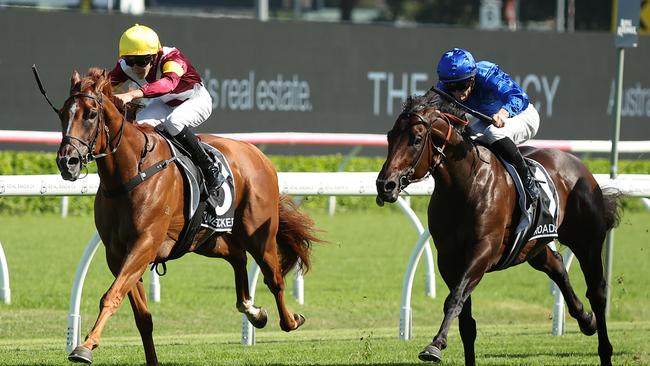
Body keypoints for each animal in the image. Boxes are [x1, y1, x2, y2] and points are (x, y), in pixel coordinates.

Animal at [57, 68, 320, 366]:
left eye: (91, 114)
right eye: (62, 113)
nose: (67, 162)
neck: (131, 172)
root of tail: (257, 153)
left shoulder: (144, 244)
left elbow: (111, 296)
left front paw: (84, 347)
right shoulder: (116, 253)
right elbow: (141, 315)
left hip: (258, 232)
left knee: (274, 277)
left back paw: (291, 320)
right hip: (205, 238)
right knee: (237, 255)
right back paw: (253, 310)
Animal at [374, 91, 616, 366]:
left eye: (415, 139)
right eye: (390, 136)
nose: (385, 185)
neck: (465, 184)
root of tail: (580, 165)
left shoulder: (483, 251)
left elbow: (454, 299)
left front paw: (435, 345)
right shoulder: (448, 259)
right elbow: (465, 320)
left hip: (587, 242)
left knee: (597, 293)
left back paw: (604, 348)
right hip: (533, 245)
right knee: (556, 265)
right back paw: (586, 320)